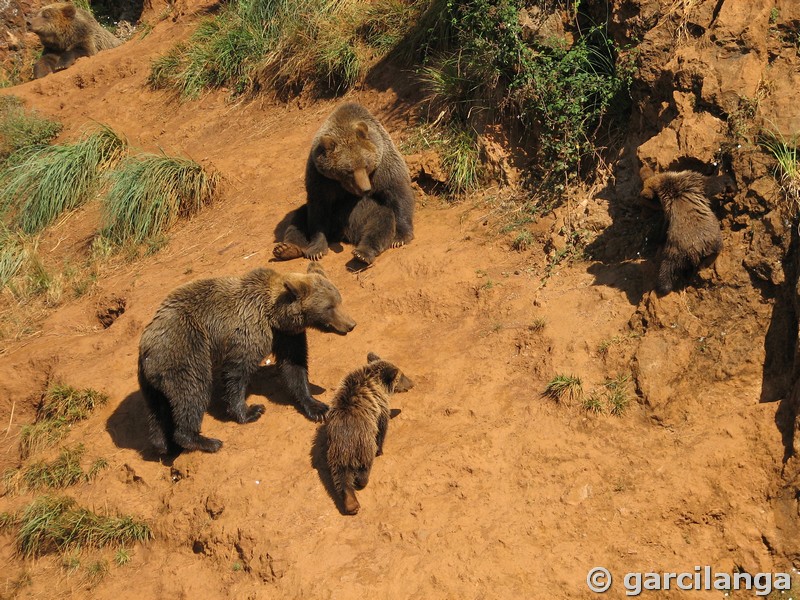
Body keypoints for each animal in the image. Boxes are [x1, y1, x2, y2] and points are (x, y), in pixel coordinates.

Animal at [274, 102, 416, 264]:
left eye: (366, 165)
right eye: (349, 170)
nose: (366, 189)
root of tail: (345, 234)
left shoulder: (383, 164)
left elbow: (398, 191)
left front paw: (400, 237)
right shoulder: (321, 177)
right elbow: (318, 209)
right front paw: (316, 249)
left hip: (368, 215)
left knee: (381, 222)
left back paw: (362, 253)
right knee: (299, 218)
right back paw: (286, 248)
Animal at [324, 352, 412, 516]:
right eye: (401, 375)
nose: (412, 383)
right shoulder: (380, 407)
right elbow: (382, 427)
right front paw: (381, 450)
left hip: (335, 453)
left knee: (340, 478)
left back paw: (351, 504)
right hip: (363, 442)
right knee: (364, 465)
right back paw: (362, 480)